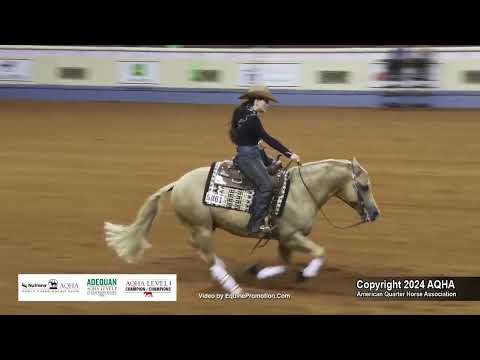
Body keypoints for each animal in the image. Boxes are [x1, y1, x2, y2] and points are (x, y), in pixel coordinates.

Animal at [104, 158, 378, 296]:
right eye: (364, 186)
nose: (375, 213)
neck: (301, 191)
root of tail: (177, 183)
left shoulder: (284, 238)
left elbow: (284, 263)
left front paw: (261, 272)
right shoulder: (291, 235)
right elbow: (320, 252)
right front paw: (307, 273)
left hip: (202, 227)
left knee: (203, 252)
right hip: (201, 227)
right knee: (207, 254)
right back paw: (232, 286)